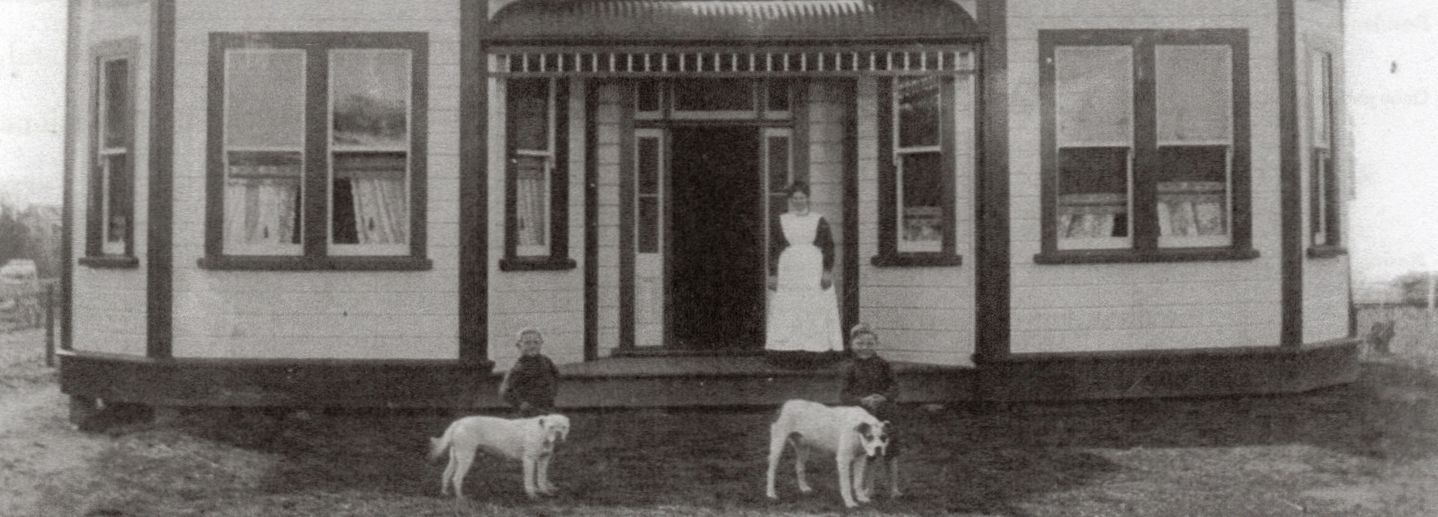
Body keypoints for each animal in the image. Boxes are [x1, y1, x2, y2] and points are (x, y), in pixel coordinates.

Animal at [422, 413, 569, 499]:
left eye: (564, 427)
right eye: (551, 427)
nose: (558, 435)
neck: (541, 432)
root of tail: (458, 422)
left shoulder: (543, 460)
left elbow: (542, 478)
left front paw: (545, 491)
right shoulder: (529, 460)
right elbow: (529, 479)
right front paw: (532, 494)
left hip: (456, 457)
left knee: (446, 474)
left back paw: (445, 493)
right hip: (466, 457)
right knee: (456, 478)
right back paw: (461, 498)